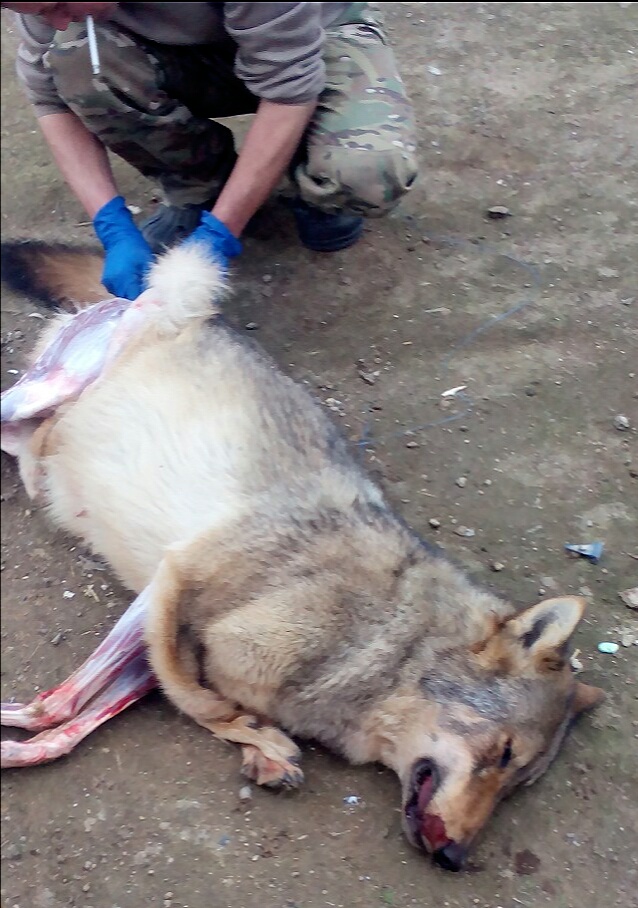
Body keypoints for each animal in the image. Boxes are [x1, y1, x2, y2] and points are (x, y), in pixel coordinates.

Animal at [0, 240, 604, 872]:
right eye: (505, 753)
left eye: (515, 785)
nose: (456, 859)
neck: (391, 644)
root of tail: (139, 297)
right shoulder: (173, 582)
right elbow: (191, 702)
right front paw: (261, 738)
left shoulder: (153, 628)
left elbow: (62, 718)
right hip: (54, 383)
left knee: (28, 443)